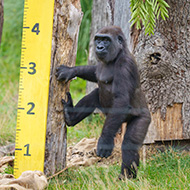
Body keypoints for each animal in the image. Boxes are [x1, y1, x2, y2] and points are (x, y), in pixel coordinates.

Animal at [55, 25, 151, 178]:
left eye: (106, 40)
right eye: (98, 39)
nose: (99, 47)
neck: (118, 53)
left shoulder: (125, 65)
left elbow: (121, 100)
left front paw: (105, 140)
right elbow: (94, 72)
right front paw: (70, 71)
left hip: (144, 118)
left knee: (130, 143)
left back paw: (126, 177)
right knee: (95, 95)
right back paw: (70, 116)